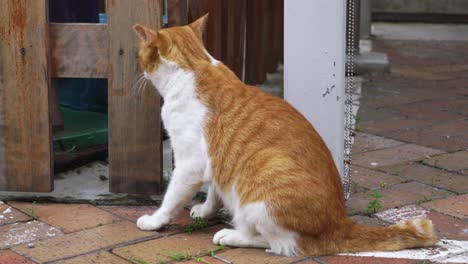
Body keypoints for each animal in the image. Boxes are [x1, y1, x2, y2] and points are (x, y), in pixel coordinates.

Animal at [133, 14, 438, 256]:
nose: (139, 69)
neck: (195, 66)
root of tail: (341, 223)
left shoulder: (190, 164)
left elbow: (171, 198)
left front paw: (155, 220)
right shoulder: (217, 162)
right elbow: (215, 191)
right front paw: (206, 209)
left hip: (261, 186)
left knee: (281, 244)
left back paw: (231, 235)